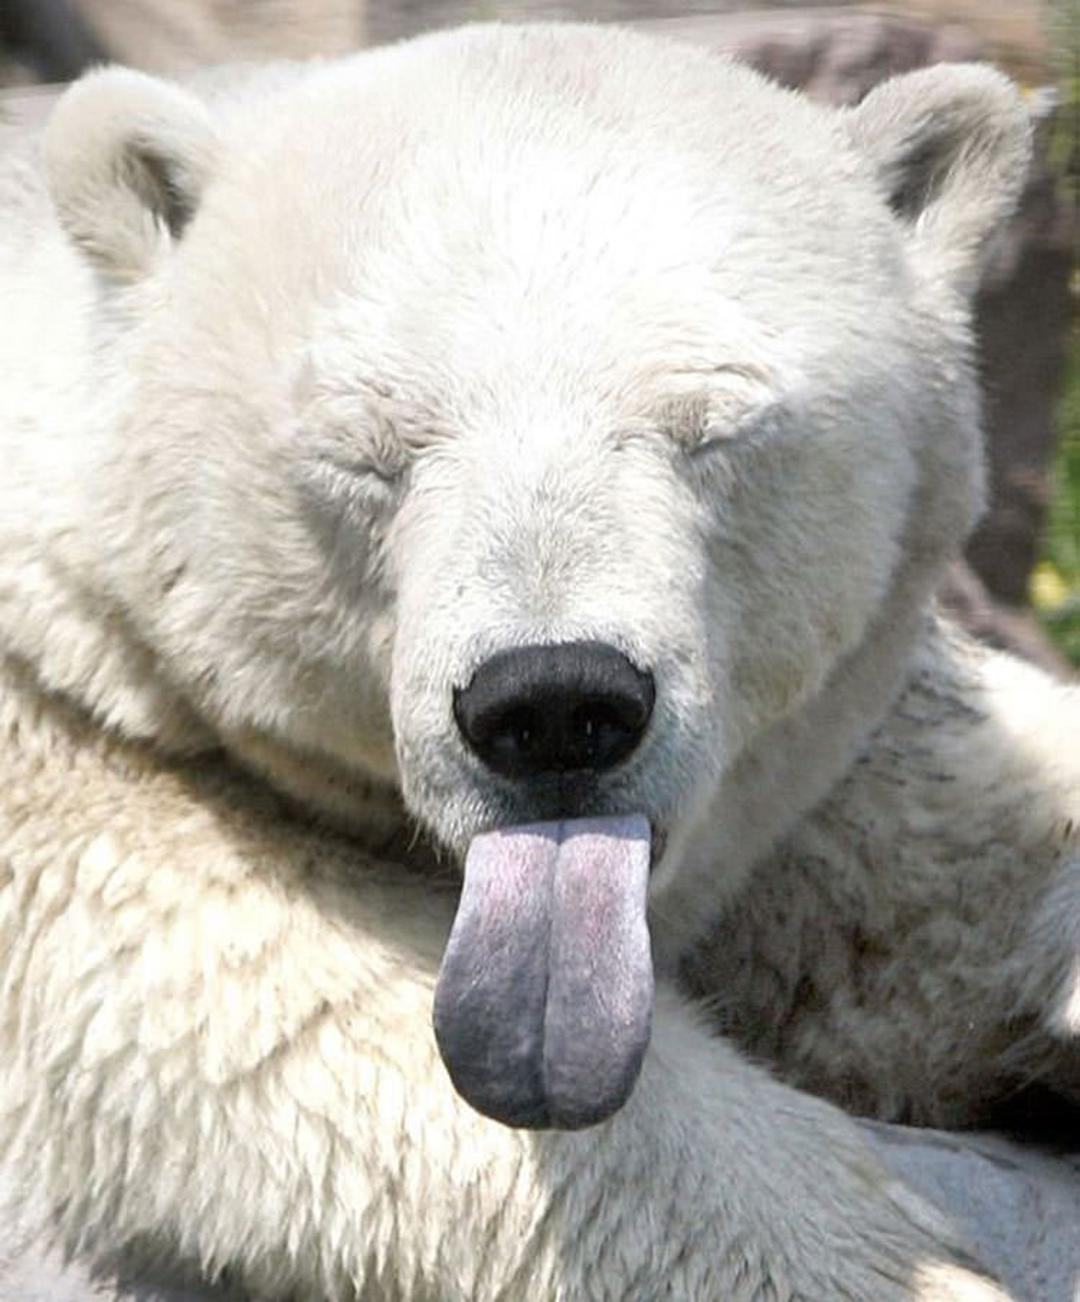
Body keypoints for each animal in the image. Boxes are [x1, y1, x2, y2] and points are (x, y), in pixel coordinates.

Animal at [1, 18, 1078, 1300]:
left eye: (716, 426)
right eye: (369, 451)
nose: (556, 703)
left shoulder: (835, 770)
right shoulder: (70, 764)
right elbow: (279, 1007)